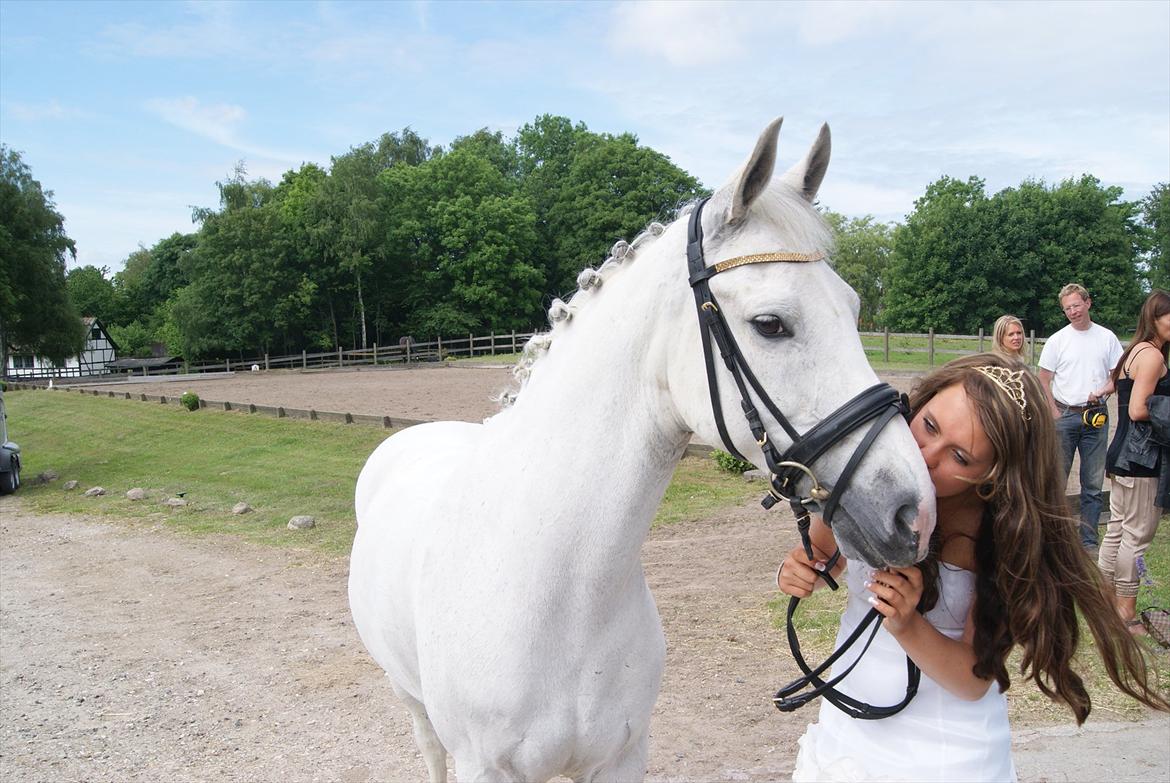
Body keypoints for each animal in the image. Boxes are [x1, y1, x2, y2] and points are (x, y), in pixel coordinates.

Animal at [349, 117, 936, 782]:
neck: (559, 594)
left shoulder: (622, 756)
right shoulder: (485, 767)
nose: (913, 513)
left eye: (854, 307)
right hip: (409, 696)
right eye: (770, 324)